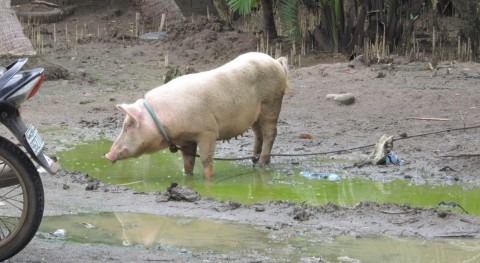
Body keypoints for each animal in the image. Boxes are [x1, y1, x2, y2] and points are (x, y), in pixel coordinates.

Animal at [105, 52, 288, 177]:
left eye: (128, 126)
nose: (107, 154)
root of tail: (276, 61)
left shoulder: (208, 131)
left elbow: (206, 160)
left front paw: (209, 178)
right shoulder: (186, 140)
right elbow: (188, 162)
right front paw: (188, 177)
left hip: (271, 102)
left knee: (270, 132)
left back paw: (262, 163)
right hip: (256, 114)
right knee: (258, 133)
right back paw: (254, 161)